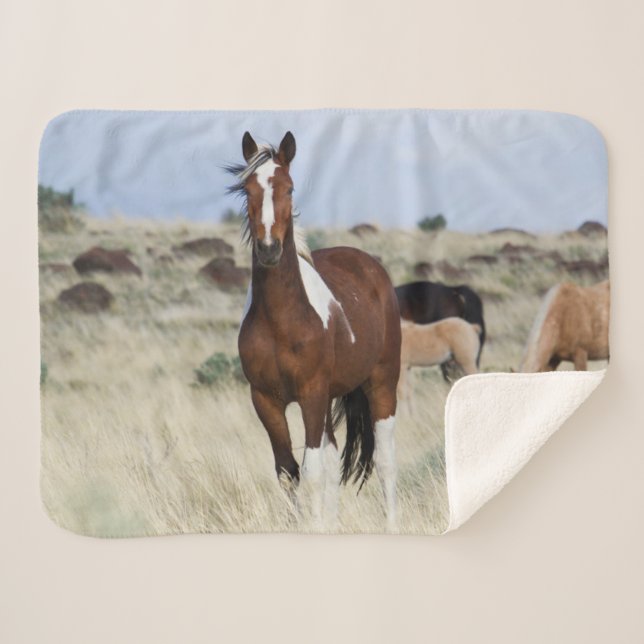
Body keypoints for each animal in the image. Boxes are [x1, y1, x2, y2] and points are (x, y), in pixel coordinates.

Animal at [231, 132, 402, 531]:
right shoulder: (266, 400)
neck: (282, 320)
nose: (269, 249)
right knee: (334, 461)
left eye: (290, 188)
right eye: (247, 189)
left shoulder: (310, 394)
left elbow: (311, 473)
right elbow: (288, 472)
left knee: (385, 461)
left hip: (381, 385)